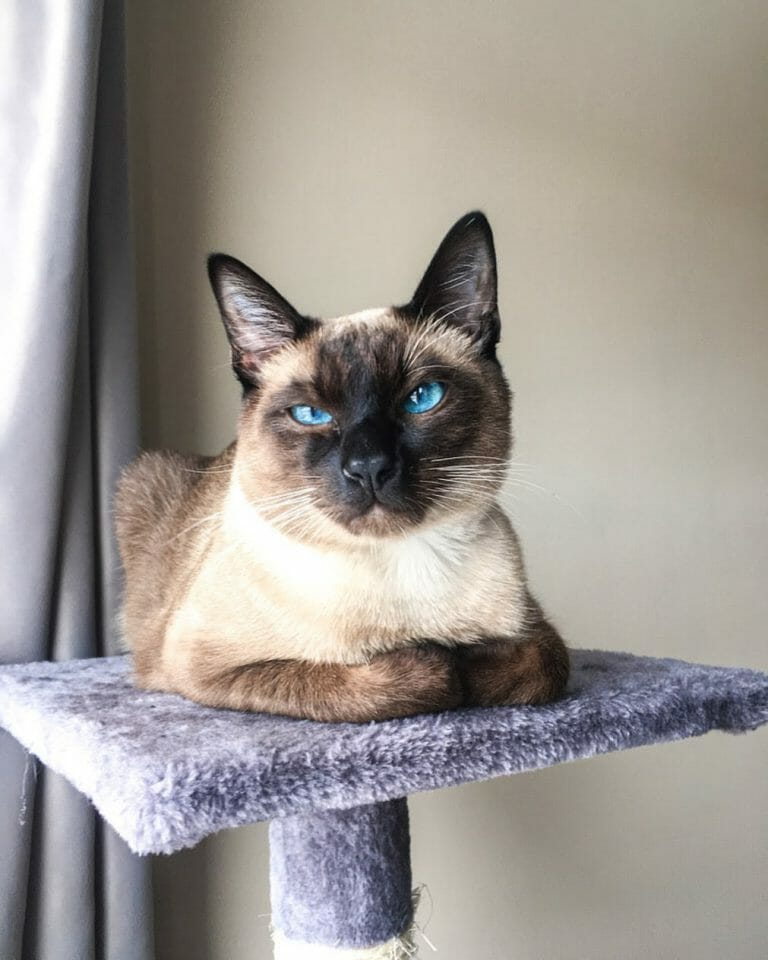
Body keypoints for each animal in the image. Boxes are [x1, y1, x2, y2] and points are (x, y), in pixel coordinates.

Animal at [115, 210, 568, 720]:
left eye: (421, 398)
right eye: (310, 414)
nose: (369, 466)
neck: (393, 565)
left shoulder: (540, 635)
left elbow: (530, 670)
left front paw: (461, 655)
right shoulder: (202, 670)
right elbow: (380, 682)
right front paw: (438, 659)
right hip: (143, 477)